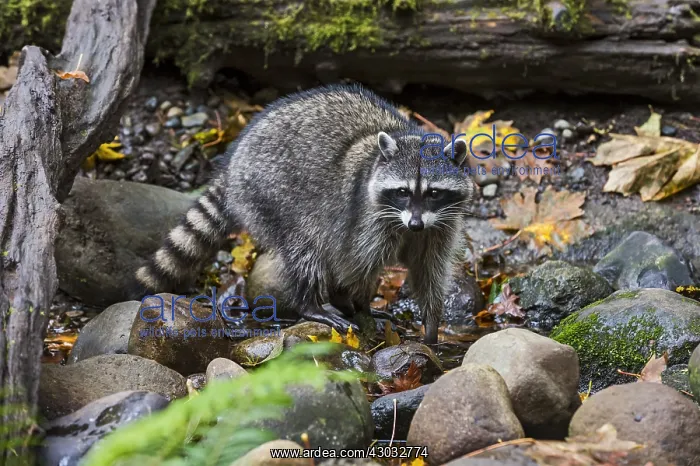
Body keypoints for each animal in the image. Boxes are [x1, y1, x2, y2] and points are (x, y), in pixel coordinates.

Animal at [136, 84, 475, 343]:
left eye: (433, 193)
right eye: (403, 191)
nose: (415, 224)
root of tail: (231, 168)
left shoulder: (440, 226)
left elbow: (430, 271)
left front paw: (431, 325)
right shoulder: (364, 219)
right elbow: (354, 265)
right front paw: (360, 306)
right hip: (272, 194)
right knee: (306, 249)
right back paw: (311, 304)